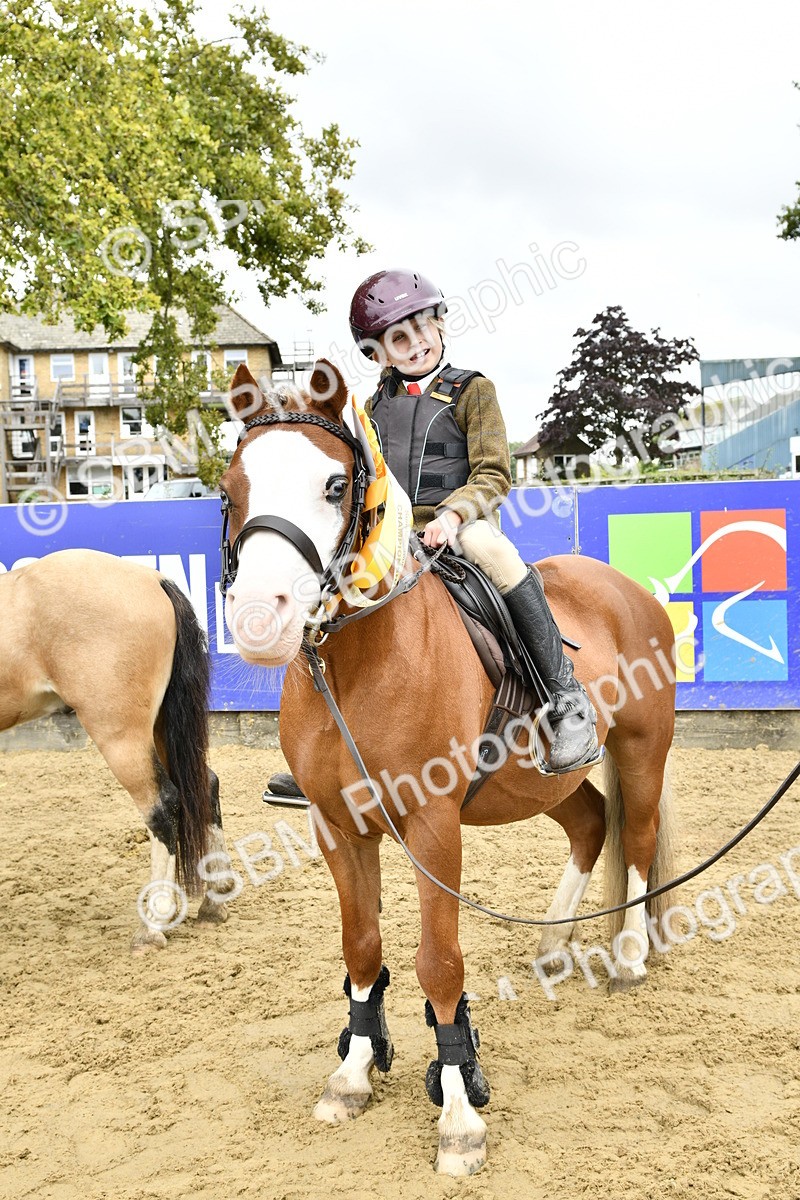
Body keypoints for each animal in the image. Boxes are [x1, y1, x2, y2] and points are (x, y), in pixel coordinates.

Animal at [0, 548, 234, 951]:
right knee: (205, 786)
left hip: (120, 735)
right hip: (159, 727)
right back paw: (213, 901)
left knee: (163, 805)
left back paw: (153, 923)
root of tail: (154, 579)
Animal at [220, 361, 678, 1176]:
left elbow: (439, 963)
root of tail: (624, 588)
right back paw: (554, 945)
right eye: (230, 487)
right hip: (537, 782)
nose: (257, 617)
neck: (360, 663)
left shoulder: (433, 828)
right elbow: (362, 948)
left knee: (641, 839)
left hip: (642, 752)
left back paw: (628, 956)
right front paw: (353, 1075)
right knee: (593, 823)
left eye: (334, 485)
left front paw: (459, 1113)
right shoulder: (339, 826)